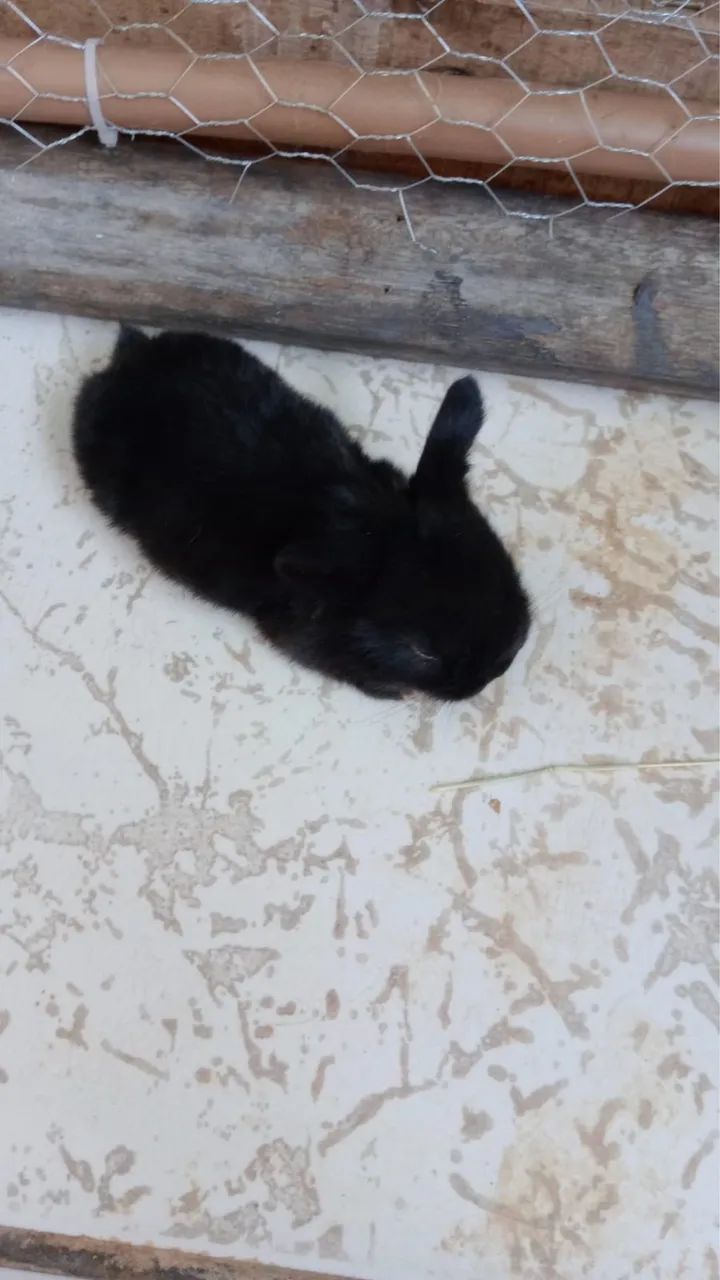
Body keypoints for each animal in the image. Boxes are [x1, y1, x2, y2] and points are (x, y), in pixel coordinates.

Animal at [72, 325, 530, 700]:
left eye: (506, 574)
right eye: (422, 651)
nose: (497, 670)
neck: (366, 516)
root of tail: (131, 356)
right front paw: (394, 692)